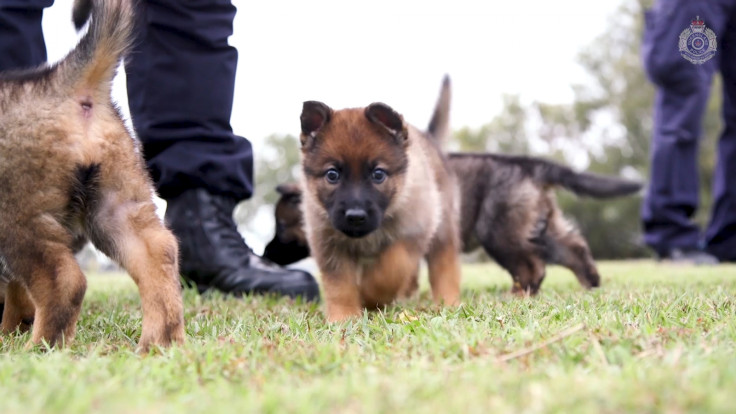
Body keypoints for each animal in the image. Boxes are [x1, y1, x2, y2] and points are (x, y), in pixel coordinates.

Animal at [0, 0, 184, 350]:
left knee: (64, 282)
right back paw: (158, 343)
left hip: (17, 216)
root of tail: (62, 82)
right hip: (115, 201)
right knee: (158, 252)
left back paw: (39, 349)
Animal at [298, 78, 460, 324]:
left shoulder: (413, 232)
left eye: (378, 174)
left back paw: (448, 301)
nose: (355, 217)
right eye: (332, 175)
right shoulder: (328, 242)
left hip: (442, 228)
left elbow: (391, 267)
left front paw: (369, 296)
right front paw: (344, 317)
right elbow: (339, 284)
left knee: (444, 266)